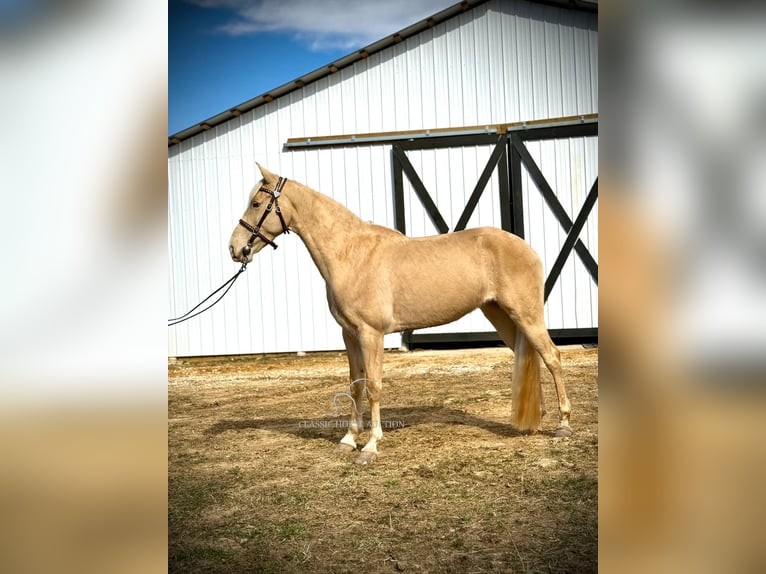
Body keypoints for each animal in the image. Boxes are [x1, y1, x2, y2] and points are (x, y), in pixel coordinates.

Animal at [228, 164, 568, 466]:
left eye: (256, 203)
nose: (235, 248)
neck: (351, 253)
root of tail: (526, 248)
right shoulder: (349, 334)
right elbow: (355, 385)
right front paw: (348, 441)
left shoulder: (371, 334)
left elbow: (374, 386)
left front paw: (370, 447)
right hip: (501, 315)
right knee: (533, 356)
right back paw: (537, 419)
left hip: (526, 315)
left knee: (552, 357)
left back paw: (563, 425)